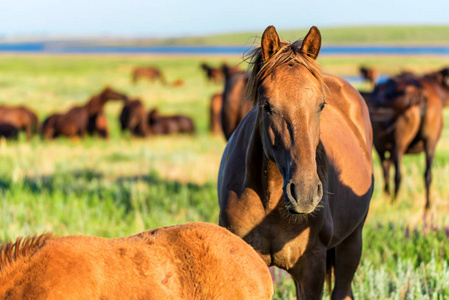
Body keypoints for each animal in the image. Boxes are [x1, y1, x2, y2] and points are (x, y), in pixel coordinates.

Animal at [366, 72, 442, 210]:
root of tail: (418, 94)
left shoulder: (379, 145)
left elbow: (385, 169)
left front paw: (386, 193)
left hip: (399, 143)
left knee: (398, 175)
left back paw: (394, 200)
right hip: (430, 143)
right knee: (427, 175)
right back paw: (427, 205)